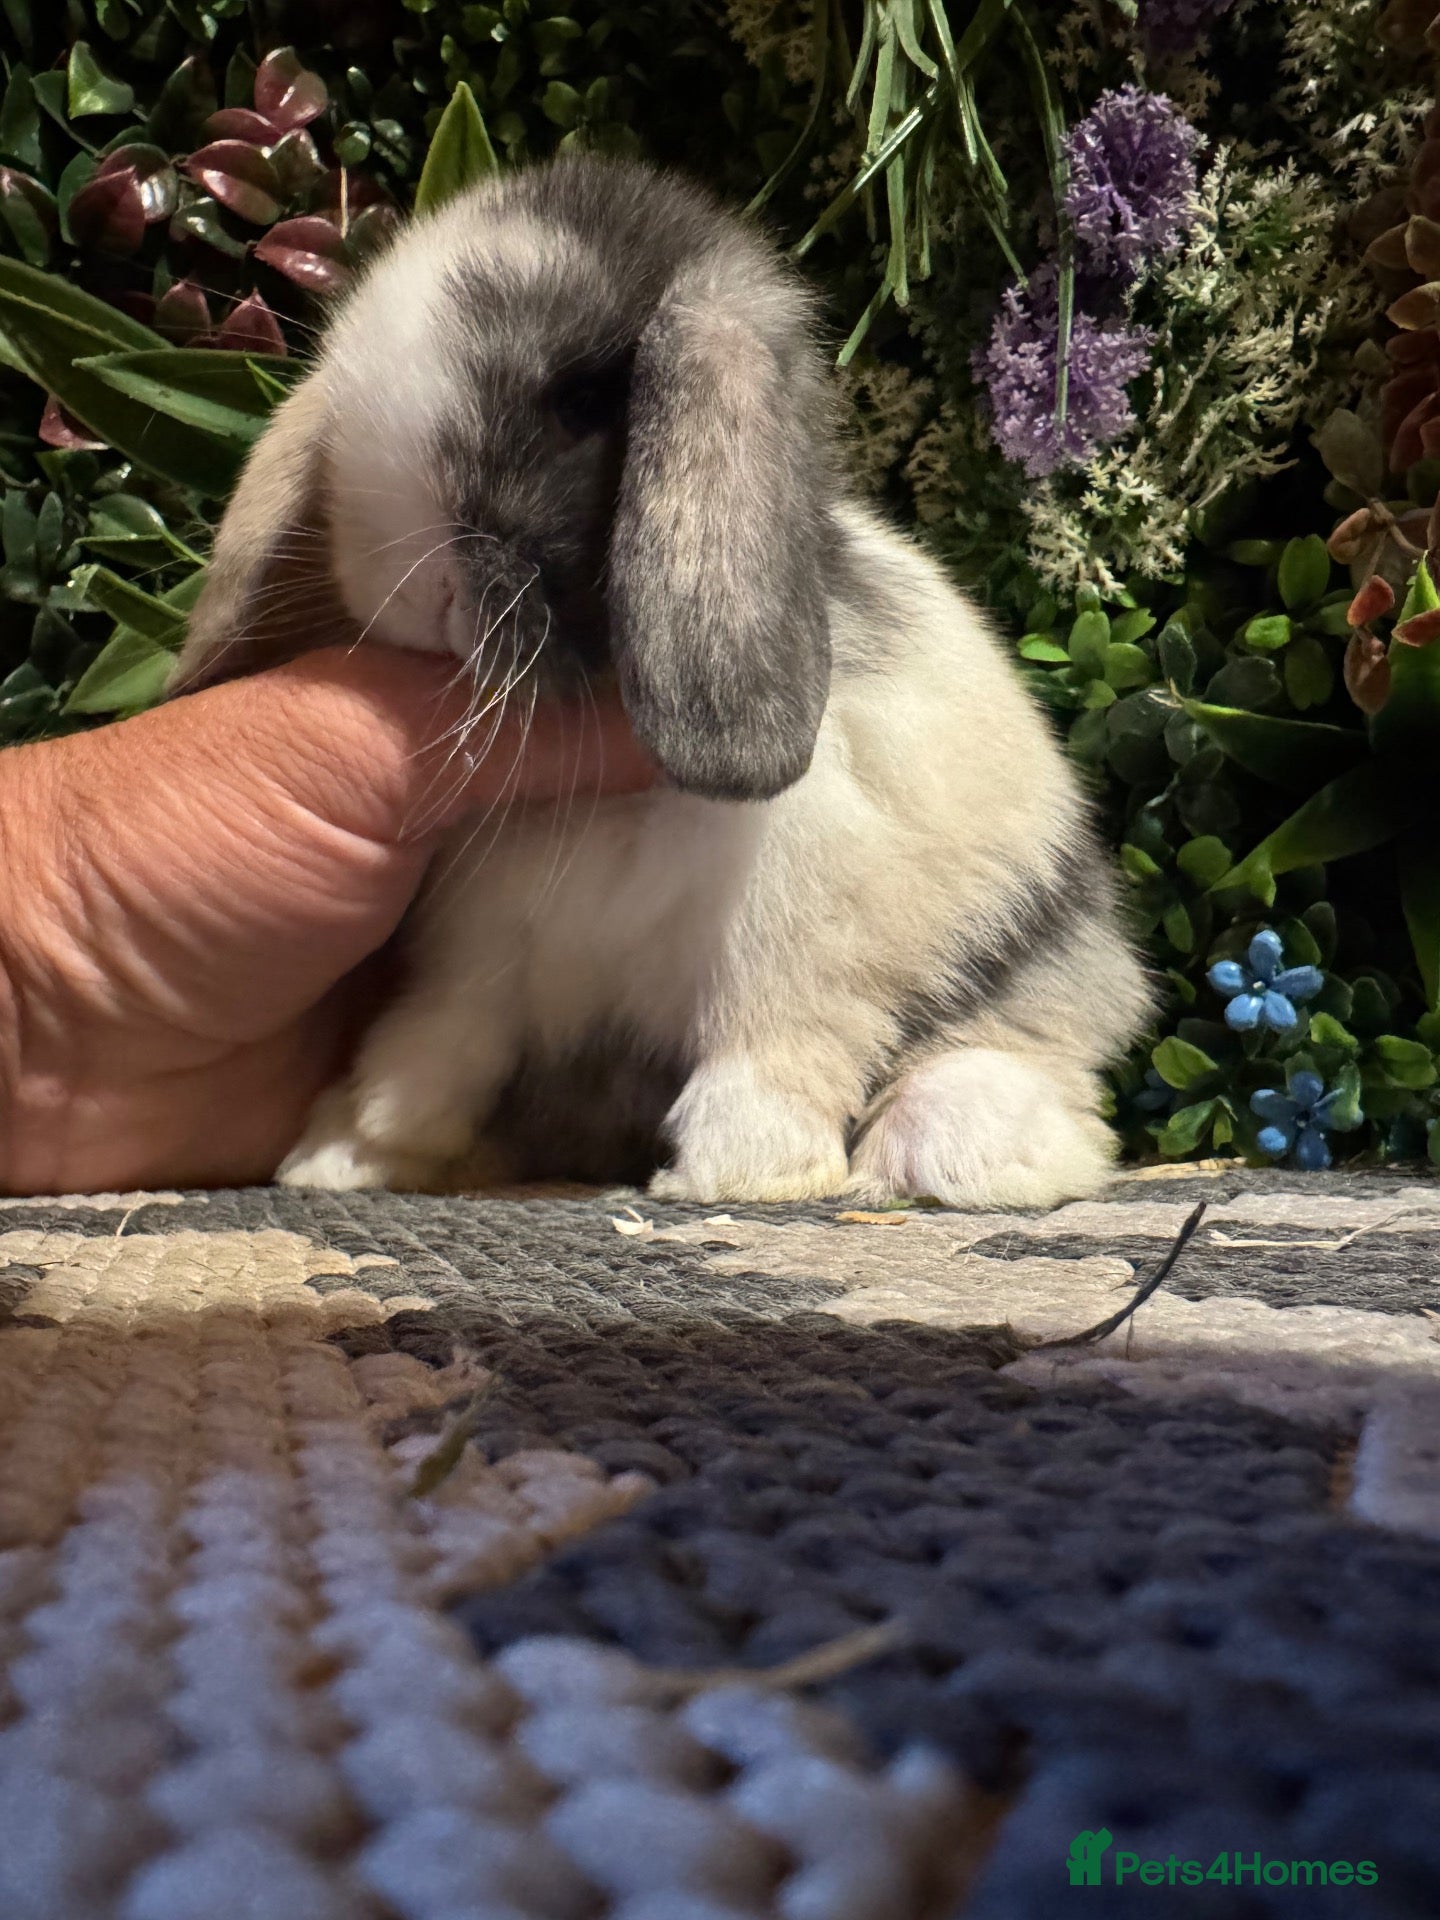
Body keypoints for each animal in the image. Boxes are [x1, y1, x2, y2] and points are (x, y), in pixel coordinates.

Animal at [170, 153, 1152, 1209]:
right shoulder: (482, 954)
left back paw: (948, 1152)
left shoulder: (790, 952)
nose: (420, 591)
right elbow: (432, 1047)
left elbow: (765, 1054)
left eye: (580, 402)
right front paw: (348, 1153)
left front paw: (739, 1175)